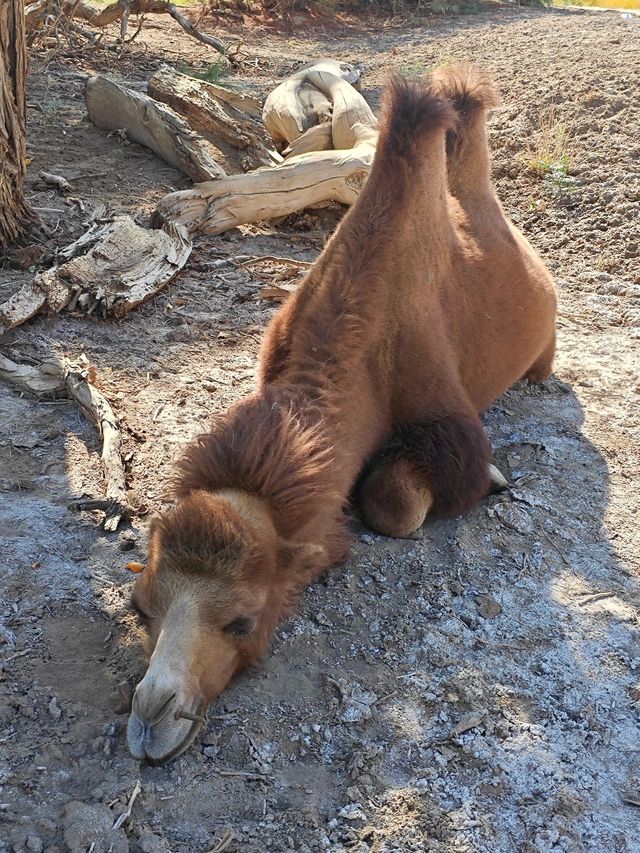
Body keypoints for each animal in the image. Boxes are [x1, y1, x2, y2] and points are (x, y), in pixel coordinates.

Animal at [125, 63, 556, 764]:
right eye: (142, 604)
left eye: (241, 620)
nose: (151, 716)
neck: (354, 354)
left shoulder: (448, 419)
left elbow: (393, 501)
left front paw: (492, 481)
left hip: (544, 354)